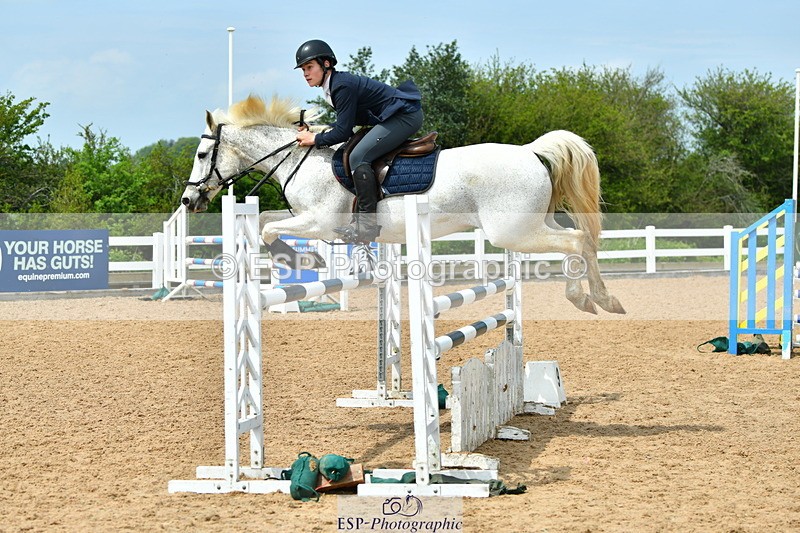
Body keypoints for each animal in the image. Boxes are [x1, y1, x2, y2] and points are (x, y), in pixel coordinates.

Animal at [181, 95, 624, 315]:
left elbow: (269, 228)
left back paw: (590, 299)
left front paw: (296, 258)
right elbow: (267, 221)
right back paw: (604, 299)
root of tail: (530, 151)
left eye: (202, 155)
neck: (300, 158)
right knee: (581, 239)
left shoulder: (320, 222)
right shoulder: (308, 219)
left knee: (575, 242)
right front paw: (297, 258)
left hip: (513, 231)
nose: (189, 200)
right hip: (532, 224)